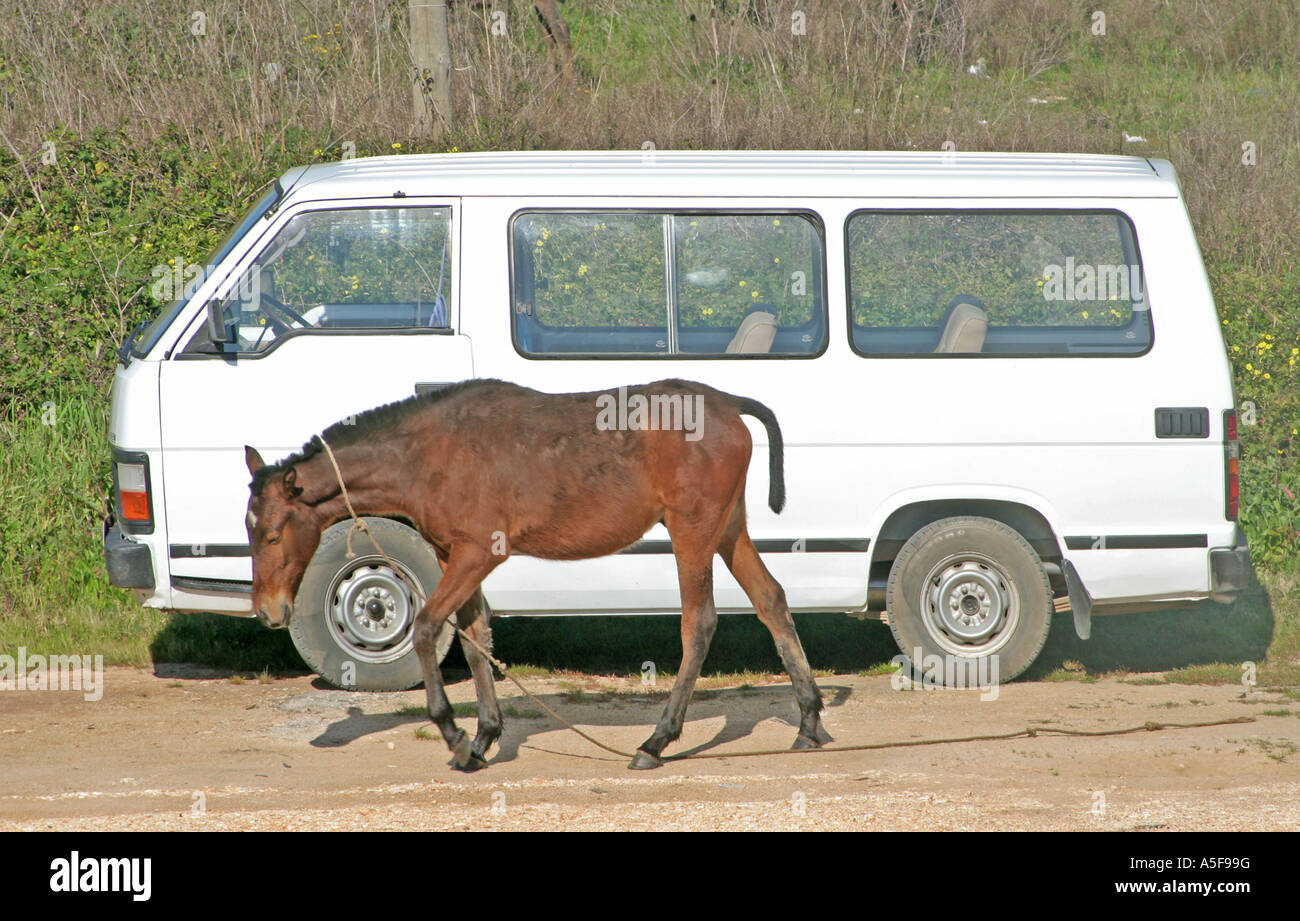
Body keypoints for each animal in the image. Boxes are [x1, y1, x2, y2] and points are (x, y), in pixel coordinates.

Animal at [244, 377, 826, 775]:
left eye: (271, 534)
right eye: (249, 529)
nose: (269, 611)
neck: (428, 454)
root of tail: (728, 403)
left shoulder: (479, 552)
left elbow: (429, 627)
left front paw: (455, 735)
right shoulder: (454, 554)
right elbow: (475, 636)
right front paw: (483, 738)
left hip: (693, 532)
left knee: (699, 623)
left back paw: (656, 741)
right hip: (727, 528)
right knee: (771, 600)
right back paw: (809, 721)